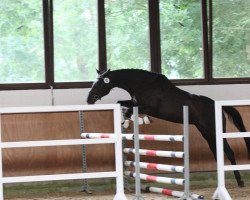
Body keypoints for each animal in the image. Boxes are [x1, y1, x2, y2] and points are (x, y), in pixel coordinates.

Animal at [86, 69, 250, 188]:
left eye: (98, 84)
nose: (89, 100)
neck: (143, 84)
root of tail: (217, 105)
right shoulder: (135, 103)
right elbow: (122, 104)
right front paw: (126, 122)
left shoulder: (148, 107)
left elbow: (128, 109)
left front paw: (138, 120)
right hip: (206, 132)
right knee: (217, 152)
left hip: (214, 131)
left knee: (229, 152)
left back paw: (240, 182)